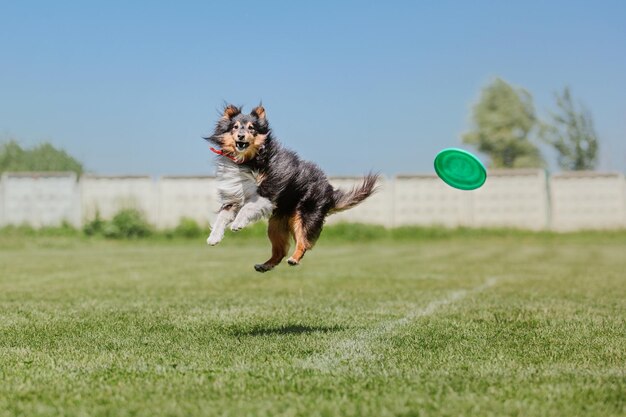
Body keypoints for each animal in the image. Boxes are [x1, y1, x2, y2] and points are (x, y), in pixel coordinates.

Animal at [207, 104, 378, 272]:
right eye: (235, 127)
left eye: (251, 128)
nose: (241, 136)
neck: (248, 160)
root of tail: (330, 192)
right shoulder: (234, 197)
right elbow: (221, 217)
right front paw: (213, 238)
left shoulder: (268, 192)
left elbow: (246, 208)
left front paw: (237, 224)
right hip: (275, 226)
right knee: (280, 251)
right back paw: (264, 265)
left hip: (304, 216)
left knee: (303, 243)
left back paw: (294, 259)